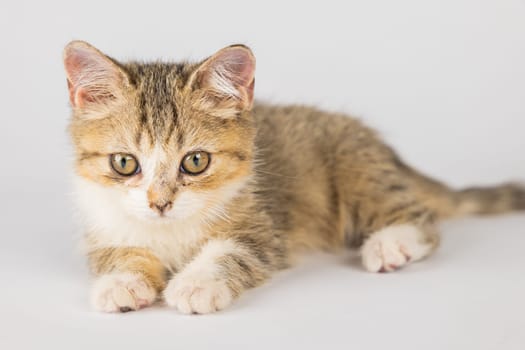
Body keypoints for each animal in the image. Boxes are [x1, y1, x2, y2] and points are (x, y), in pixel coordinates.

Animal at [62, 39, 524, 314]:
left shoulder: (264, 226)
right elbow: (115, 253)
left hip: (355, 172)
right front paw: (121, 282)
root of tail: (378, 146)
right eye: (125, 164)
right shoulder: (104, 224)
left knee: (420, 217)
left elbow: (233, 252)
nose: (160, 203)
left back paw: (390, 244)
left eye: (195, 161)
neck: (171, 231)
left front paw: (195, 283)